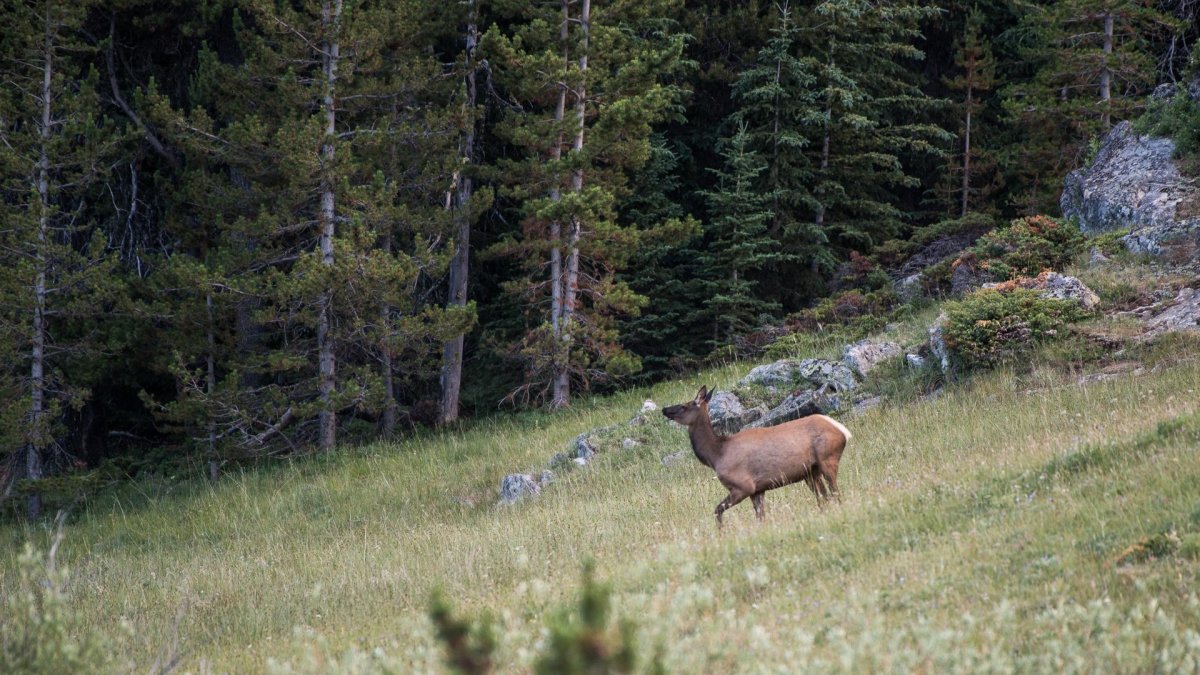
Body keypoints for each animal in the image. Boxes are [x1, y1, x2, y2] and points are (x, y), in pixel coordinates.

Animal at [662, 385, 851, 526]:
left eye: (685, 405)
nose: (664, 409)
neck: (716, 455)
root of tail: (842, 430)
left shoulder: (743, 486)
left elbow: (717, 510)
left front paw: (722, 532)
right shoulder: (758, 490)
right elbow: (761, 518)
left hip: (828, 458)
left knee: (835, 493)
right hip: (811, 472)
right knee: (824, 498)